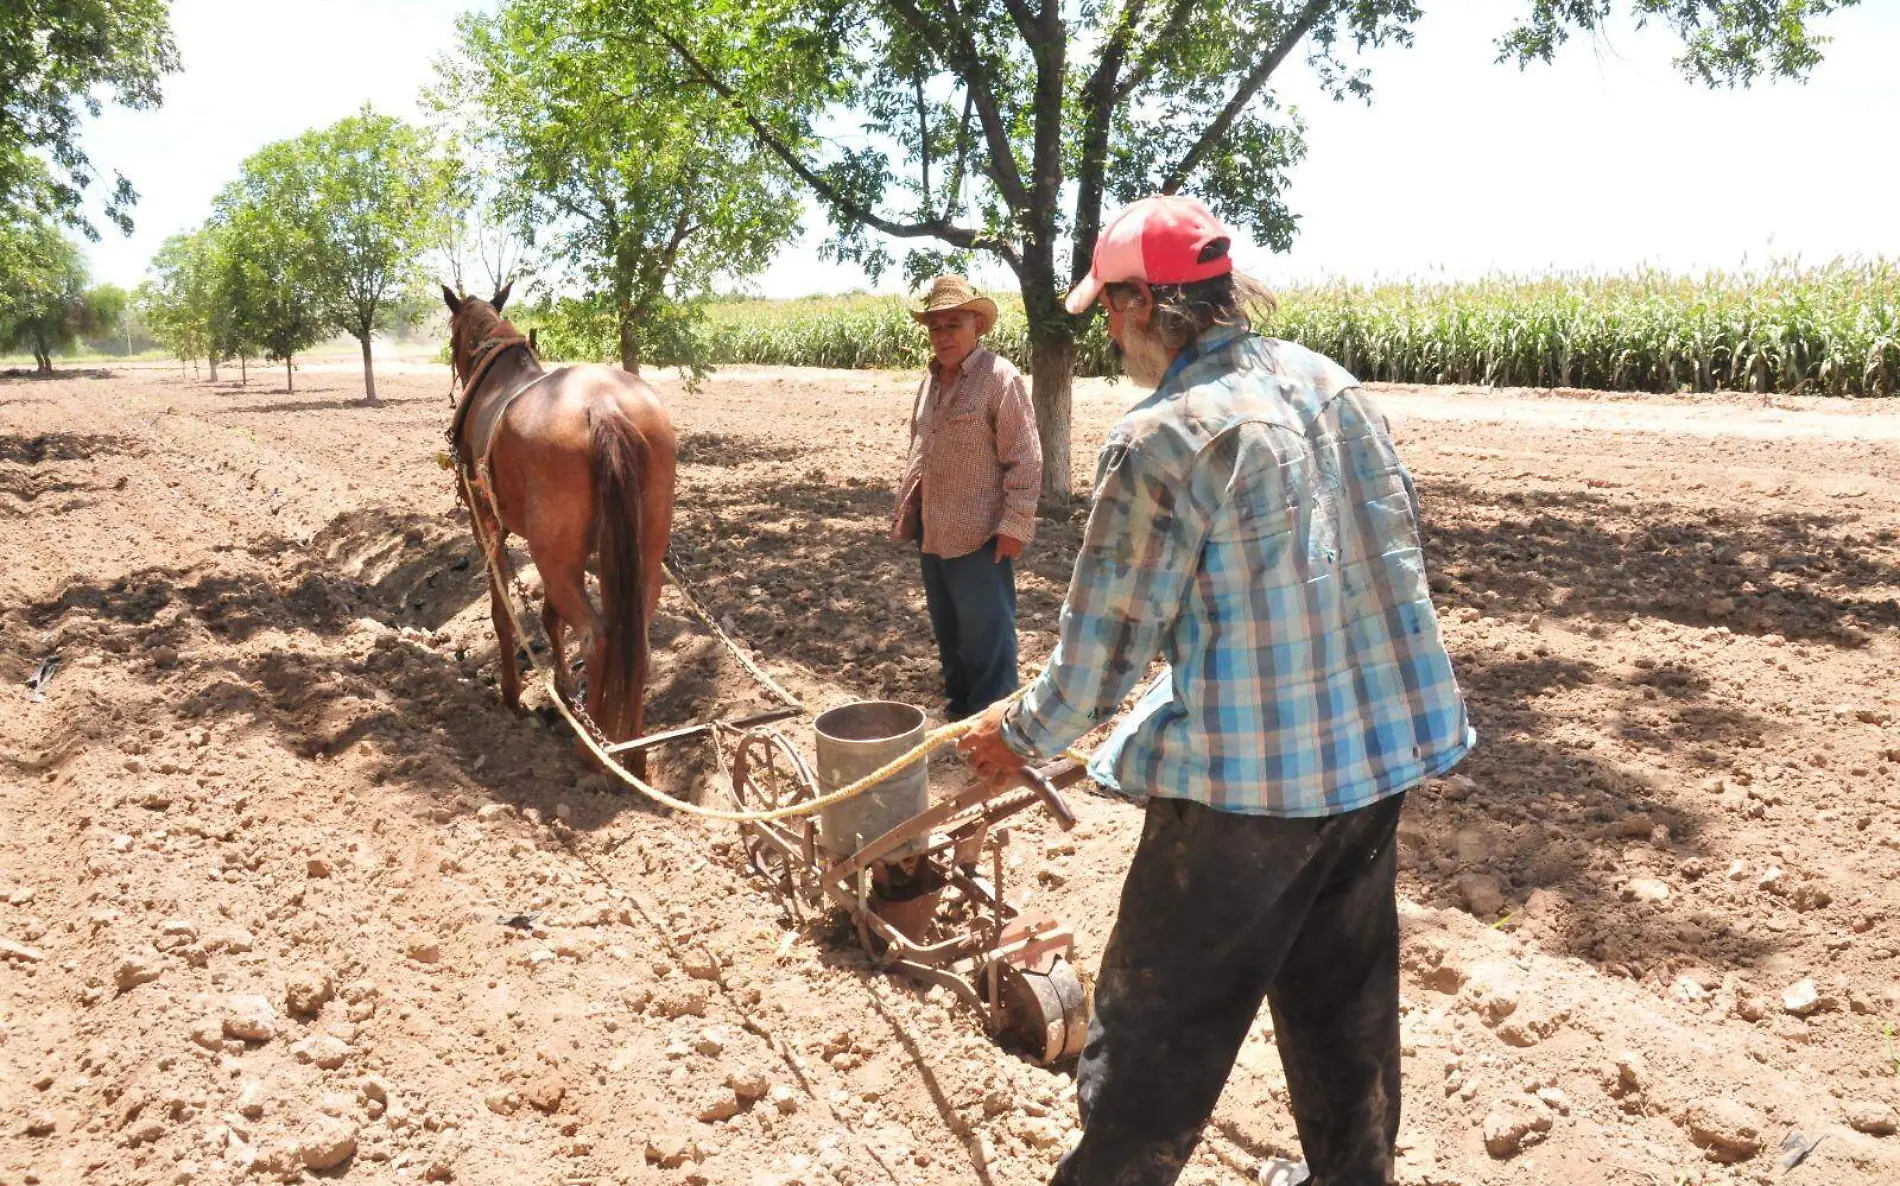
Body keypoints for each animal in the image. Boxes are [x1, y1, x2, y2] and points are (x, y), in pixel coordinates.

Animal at [440, 283, 680, 775]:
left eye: (453, 335)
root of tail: (604, 406)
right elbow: (550, 615)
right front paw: (565, 690)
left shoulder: (486, 521)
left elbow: (502, 611)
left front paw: (511, 695)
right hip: (635, 557)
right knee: (635, 638)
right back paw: (633, 752)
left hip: (553, 553)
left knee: (596, 635)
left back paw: (593, 754)